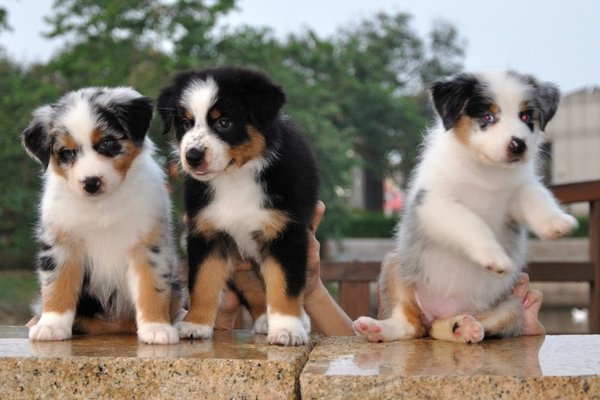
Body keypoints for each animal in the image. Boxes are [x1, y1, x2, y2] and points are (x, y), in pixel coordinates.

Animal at [22, 87, 182, 344]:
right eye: (66, 153)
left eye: (107, 142)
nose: (91, 183)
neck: (101, 206)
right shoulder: (62, 243)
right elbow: (57, 286)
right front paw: (51, 326)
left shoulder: (147, 245)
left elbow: (152, 287)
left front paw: (156, 327)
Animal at [157, 67, 322, 346]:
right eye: (185, 123)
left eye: (224, 123)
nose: (192, 156)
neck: (235, 178)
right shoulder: (207, 232)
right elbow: (202, 282)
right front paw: (195, 324)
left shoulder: (286, 233)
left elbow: (284, 283)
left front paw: (287, 328)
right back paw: (265, 319)